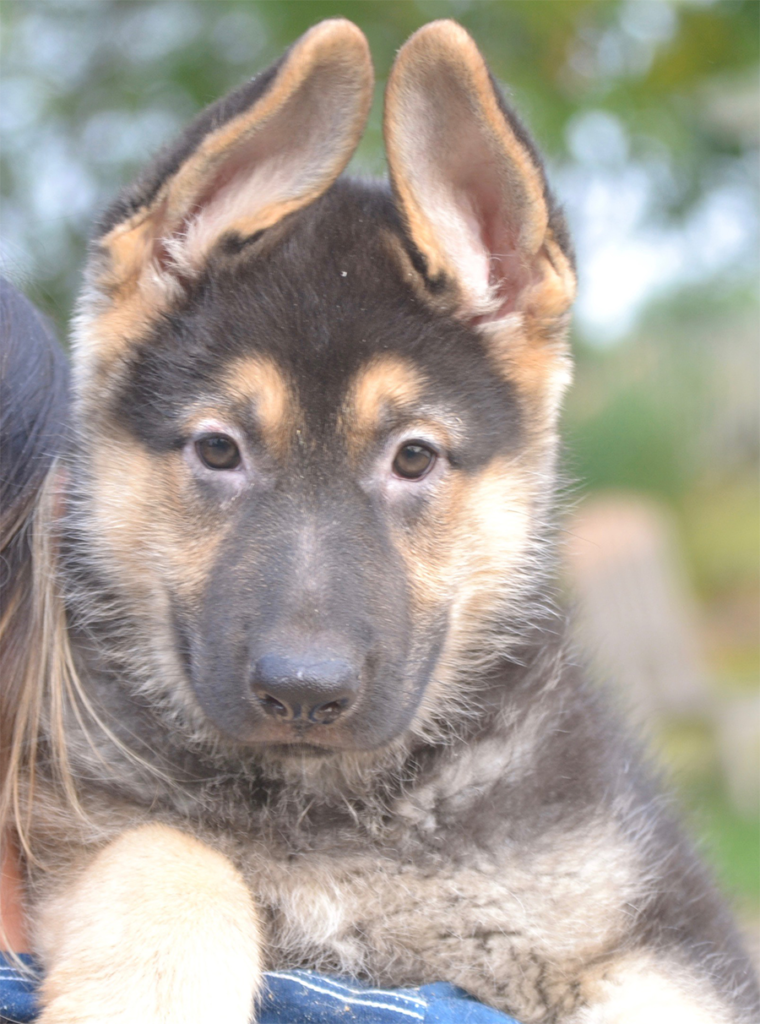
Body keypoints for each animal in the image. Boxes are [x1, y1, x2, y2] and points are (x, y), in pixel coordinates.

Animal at [1, 18, 760, 1024]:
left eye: (413, 458)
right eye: (218, 450)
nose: (303, 692)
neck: (331, 808)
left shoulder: (671, 936)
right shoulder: (79, 814)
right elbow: (169, 849)